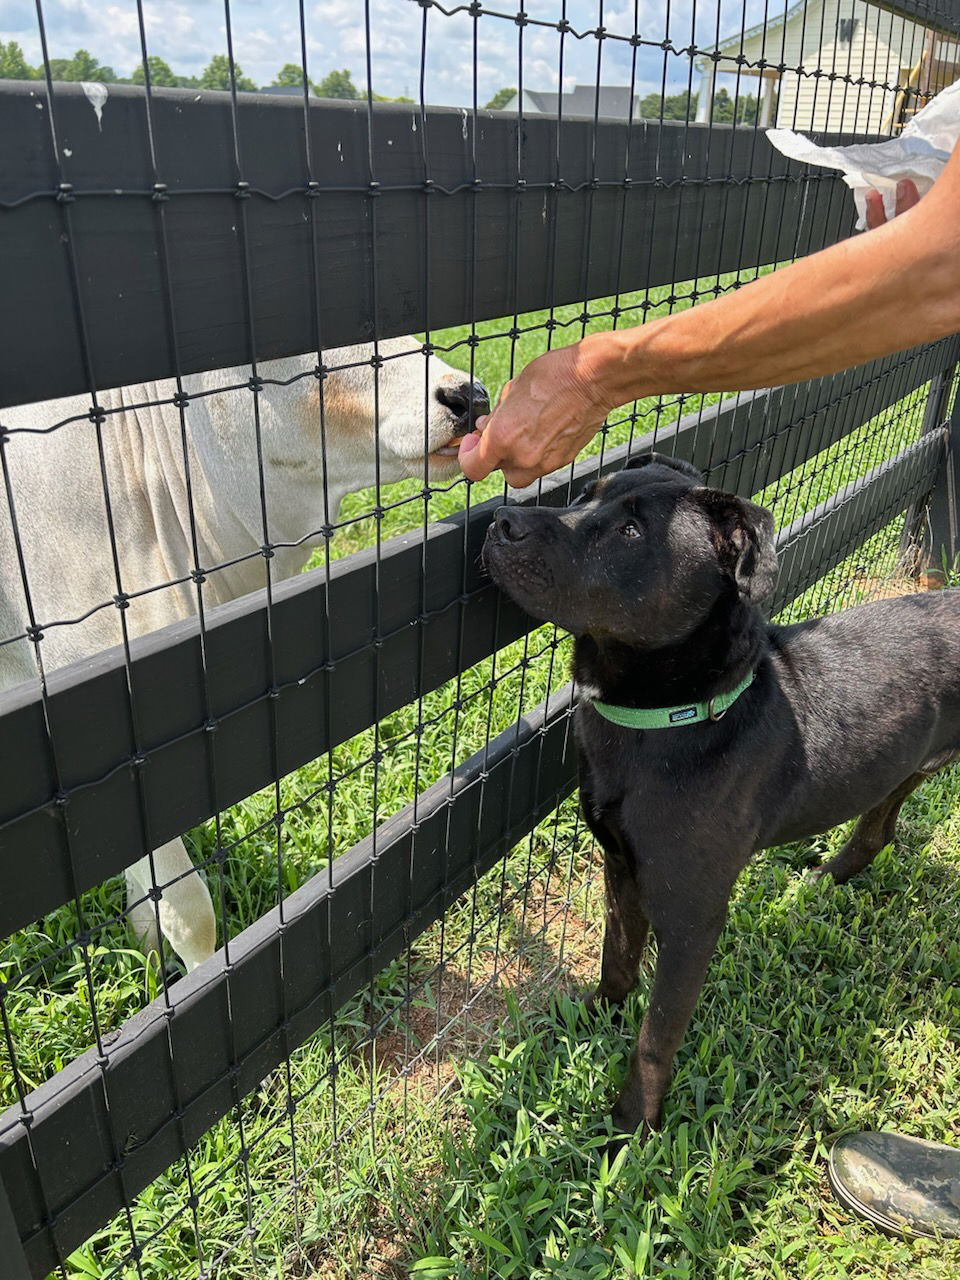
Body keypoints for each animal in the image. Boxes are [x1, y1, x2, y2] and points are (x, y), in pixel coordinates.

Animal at [488, 455, 960, 1136]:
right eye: (587, 494)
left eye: (632, 532)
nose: (502, 521)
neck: (668, 720)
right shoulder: (620, 868)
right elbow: (616, 961)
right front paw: (593, 1021)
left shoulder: (692, 919)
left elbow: (655, 1040)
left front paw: (630, 1129)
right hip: (899, 767)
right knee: (878, 831)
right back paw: (822, 880)